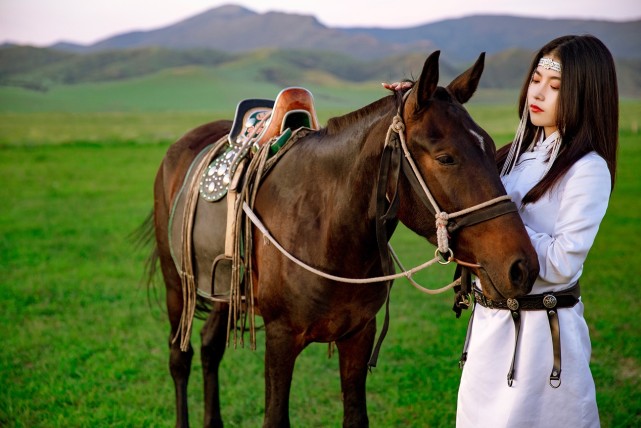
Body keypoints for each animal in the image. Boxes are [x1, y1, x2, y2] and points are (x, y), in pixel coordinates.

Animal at [145, 51, 536, 428]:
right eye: (445, 157)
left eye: (492, 147)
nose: (522, 266)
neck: (328, 231)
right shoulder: (281, 337)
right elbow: (275, 418)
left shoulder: (359, 335)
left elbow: (355, 417)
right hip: (176, 284)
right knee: (180, 356)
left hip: (225, 290)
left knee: (210, 347)